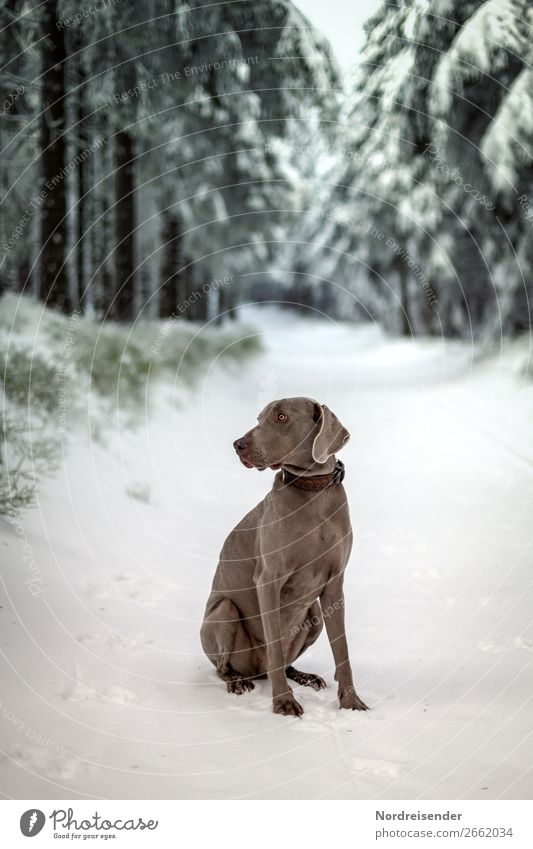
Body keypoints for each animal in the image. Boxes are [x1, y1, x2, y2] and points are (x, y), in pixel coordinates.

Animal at [200, 398, 366, 716]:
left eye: (281, 417)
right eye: (259, 418)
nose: (238, 445)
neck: (313, 492)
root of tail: (258, 671)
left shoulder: (334, 584)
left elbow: (342, 649)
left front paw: (351, 702)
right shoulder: (268, 580)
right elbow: (275, 645)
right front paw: (284, 703)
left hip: (314, 614)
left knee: (287, 662)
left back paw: (305, 676)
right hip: (224, 612)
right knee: (225, 667)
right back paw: (237, 682)